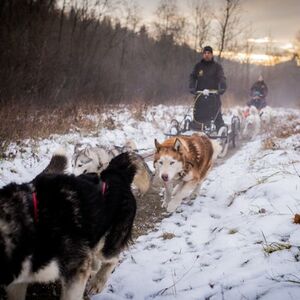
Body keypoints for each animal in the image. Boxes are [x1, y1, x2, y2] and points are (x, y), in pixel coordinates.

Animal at [0, 154, 137, 298]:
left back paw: (97, 282)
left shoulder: (76, 269)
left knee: (113, 259)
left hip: (106, 245)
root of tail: (117, 173)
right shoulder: (18, 281)